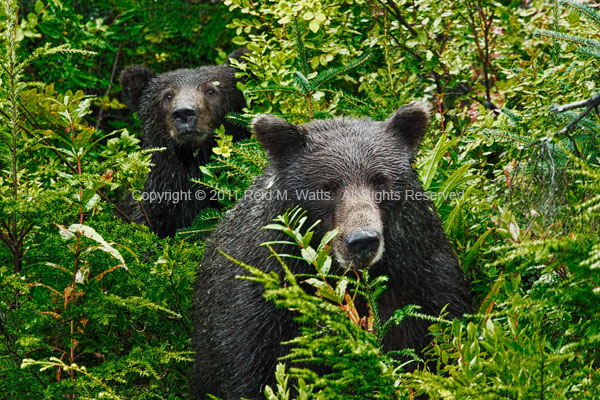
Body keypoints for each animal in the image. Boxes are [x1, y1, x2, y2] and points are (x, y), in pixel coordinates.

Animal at [195, 102, 472, 396]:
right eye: (327, 187)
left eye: (380, 181)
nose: (362, 240)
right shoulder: (258, 305)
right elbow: (251, 370)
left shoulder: (421, 278)